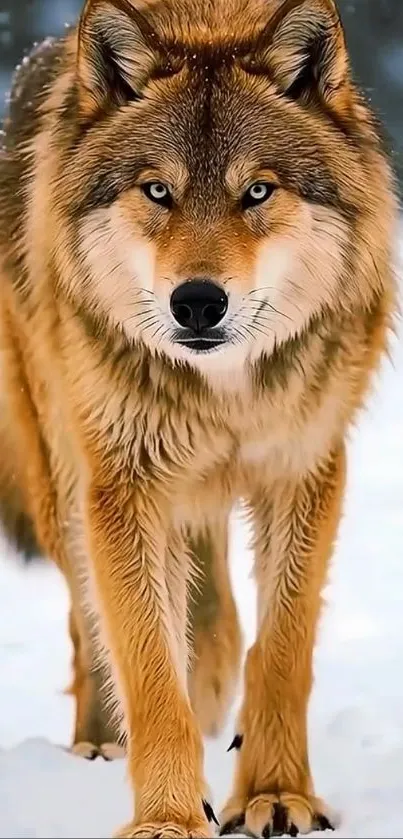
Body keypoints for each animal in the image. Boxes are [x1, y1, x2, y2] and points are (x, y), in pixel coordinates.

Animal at [0, 0, 398, 835]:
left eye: (257, 191)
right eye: (157, 190)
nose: (196, 302)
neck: (225, 391)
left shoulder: (305, 469)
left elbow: (281, 650)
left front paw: (276, 794)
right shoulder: (124, 487)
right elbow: (150, 671)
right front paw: (168, 817)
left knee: (217, 616)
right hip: (64, 480)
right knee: (90, 621)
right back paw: (99, 743)